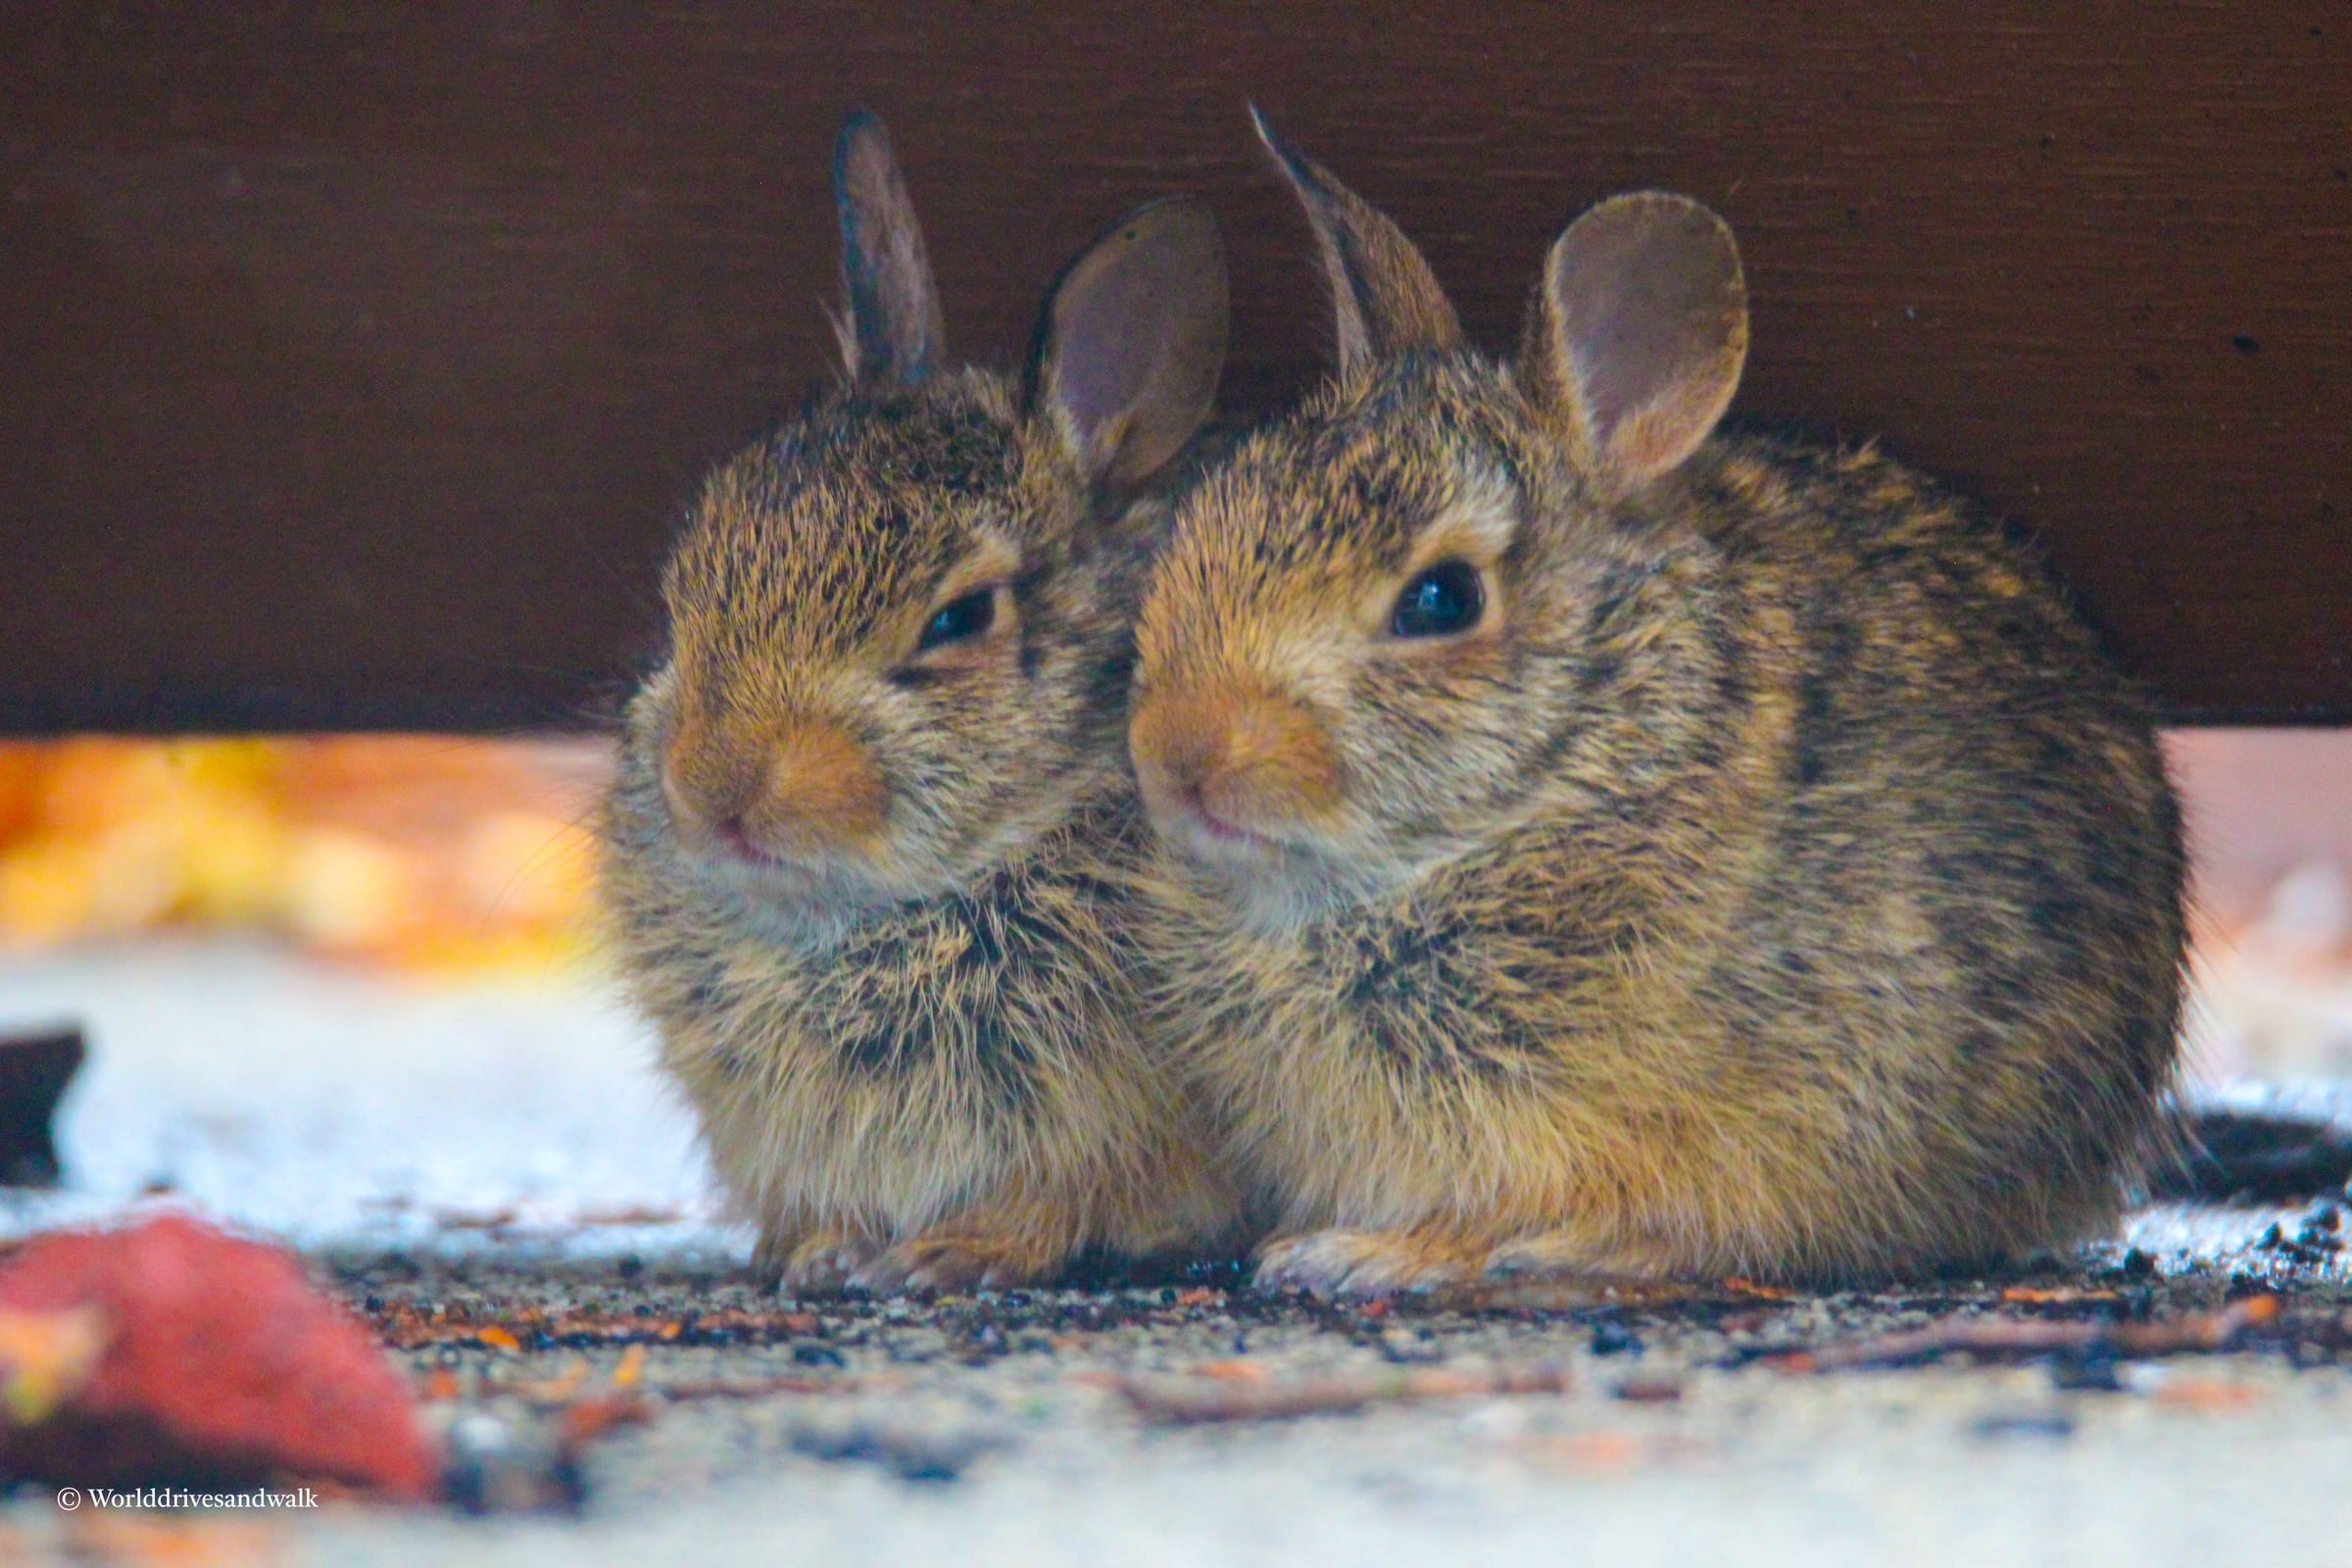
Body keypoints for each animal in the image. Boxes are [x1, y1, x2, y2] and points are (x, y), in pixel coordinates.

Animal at [599, 112, 1243, 1294]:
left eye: (960, 618)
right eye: (690, 581)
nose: (712, 784)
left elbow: (1059, 1195)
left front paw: (948, 1254)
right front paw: (819, 1251)